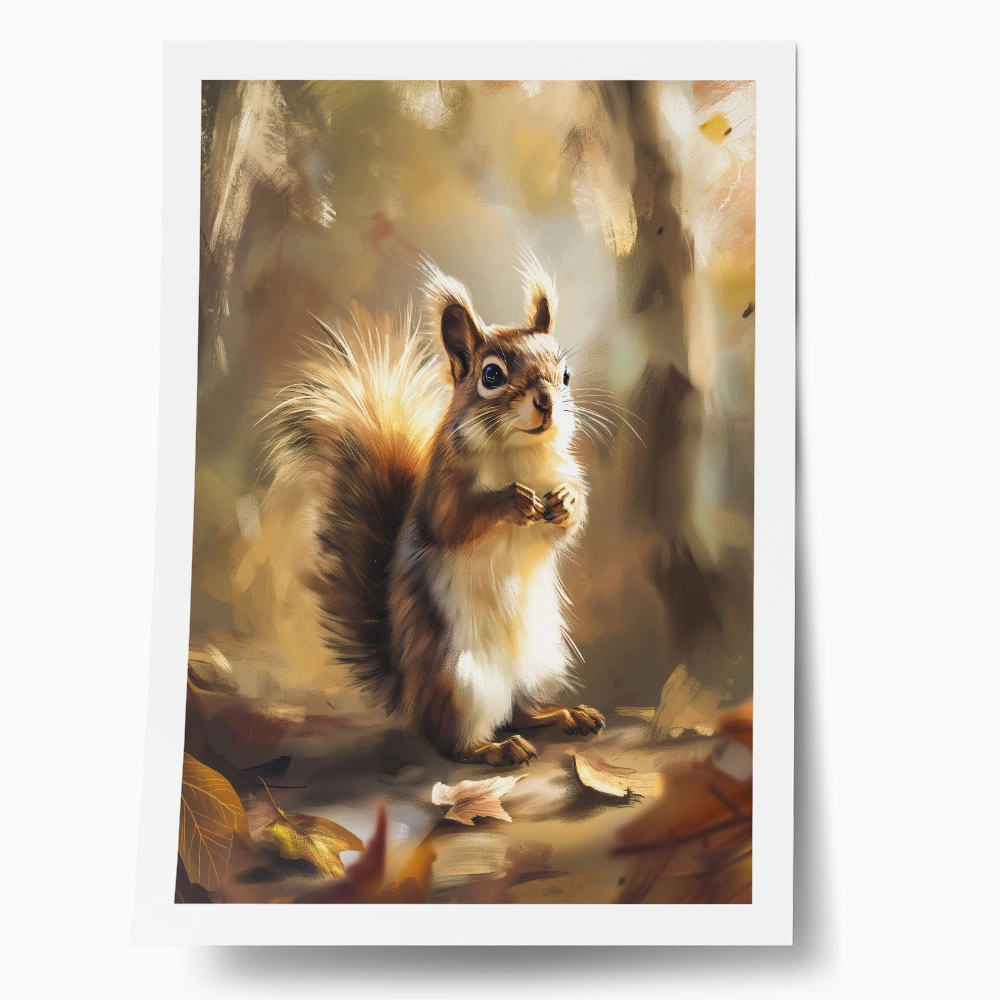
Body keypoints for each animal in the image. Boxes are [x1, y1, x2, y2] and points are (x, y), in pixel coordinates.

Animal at [261, 257, 605, 766]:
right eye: (491, 375)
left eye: (565, 376)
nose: (545, 403)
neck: (520, 450)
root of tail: (410, 693)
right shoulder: (442, 489)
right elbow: (454, 520)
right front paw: (511, 501)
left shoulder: (564, 468)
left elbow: (571, 521)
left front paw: (565, 502)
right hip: (459, 682)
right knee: (454, 741)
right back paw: (495, 748)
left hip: (544, 662)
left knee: (522, 711)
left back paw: (564, 714)